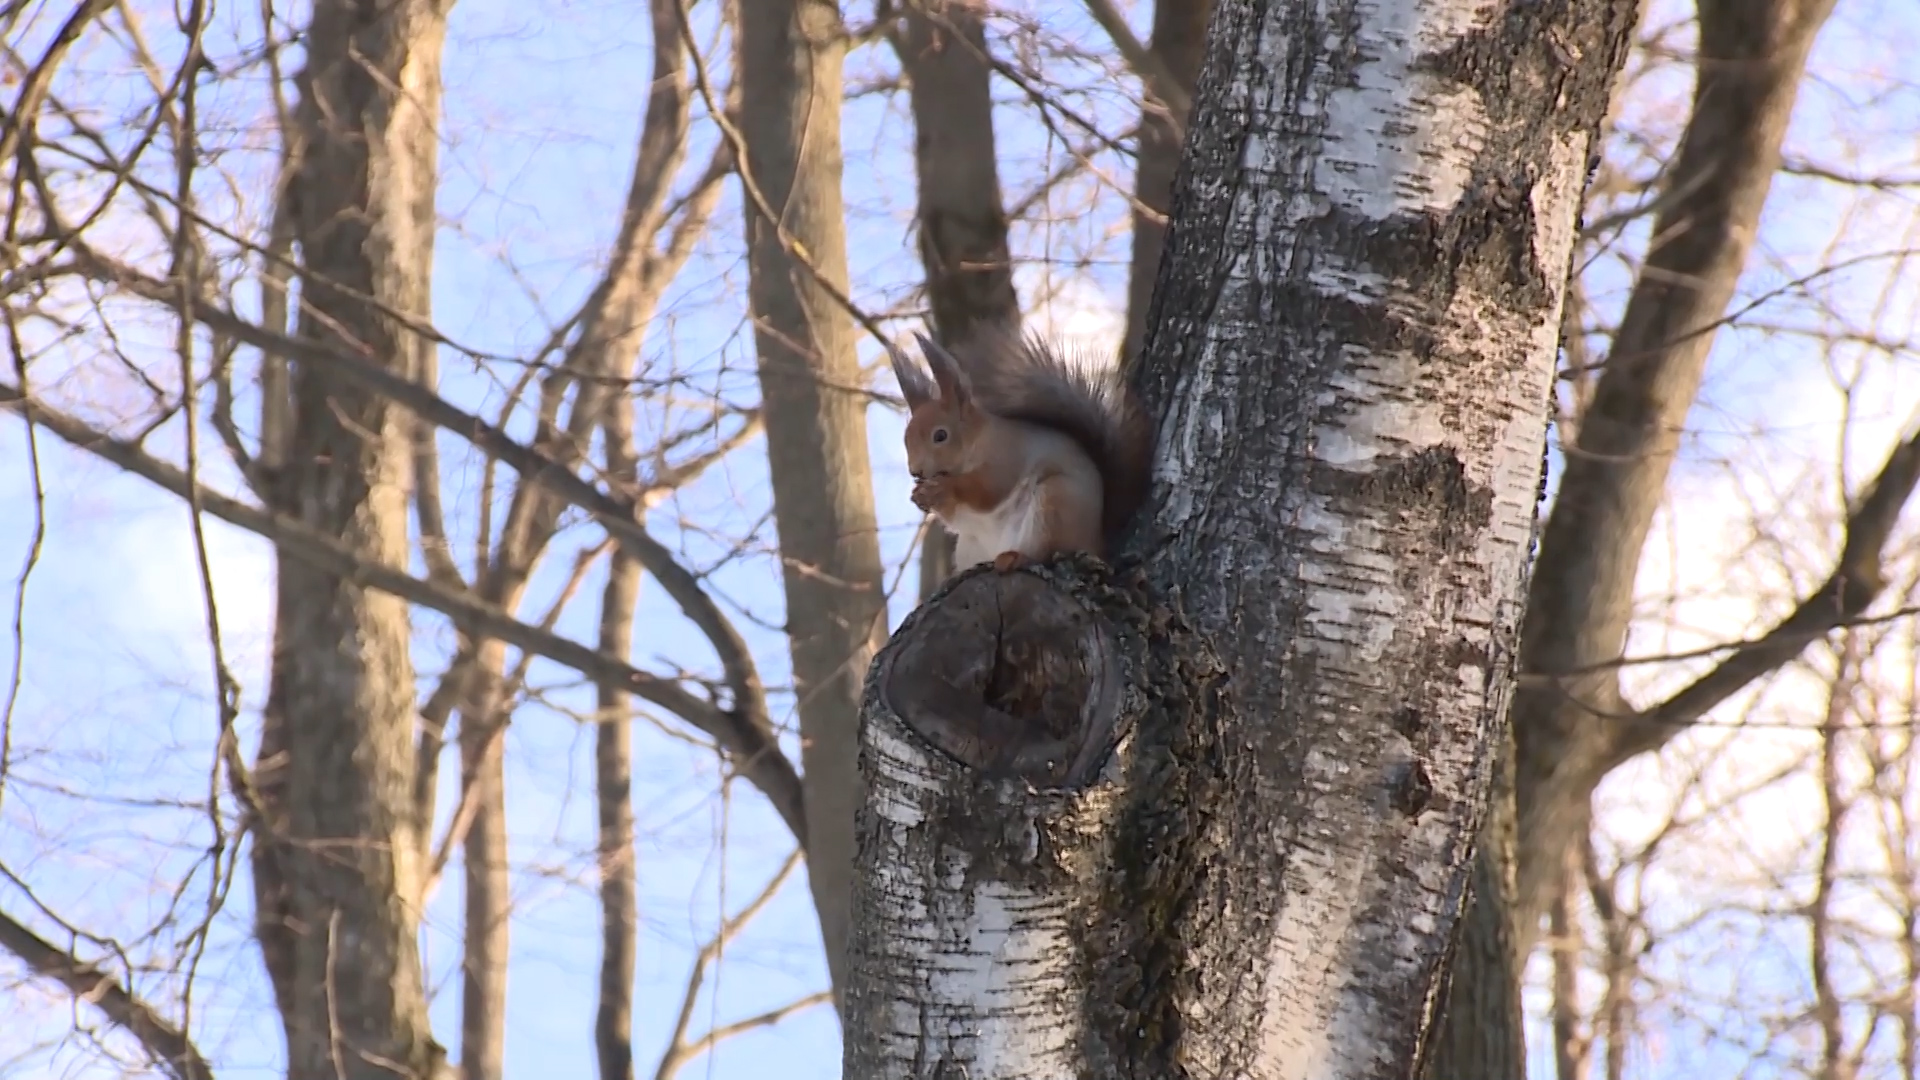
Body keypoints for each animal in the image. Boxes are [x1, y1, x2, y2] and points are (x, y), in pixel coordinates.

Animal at [887, 328, 1144, 576]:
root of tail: (1097, 543)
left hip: (1055, 504)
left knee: (1047, 552)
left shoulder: (1007, 456)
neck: (978, 441)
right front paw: (920, 495)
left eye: (940, 436)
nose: (915, 471)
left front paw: (943, 488)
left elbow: (988, 490)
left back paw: (1016, 558)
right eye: (906, 439)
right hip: (969, 547)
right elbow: (954, 518)